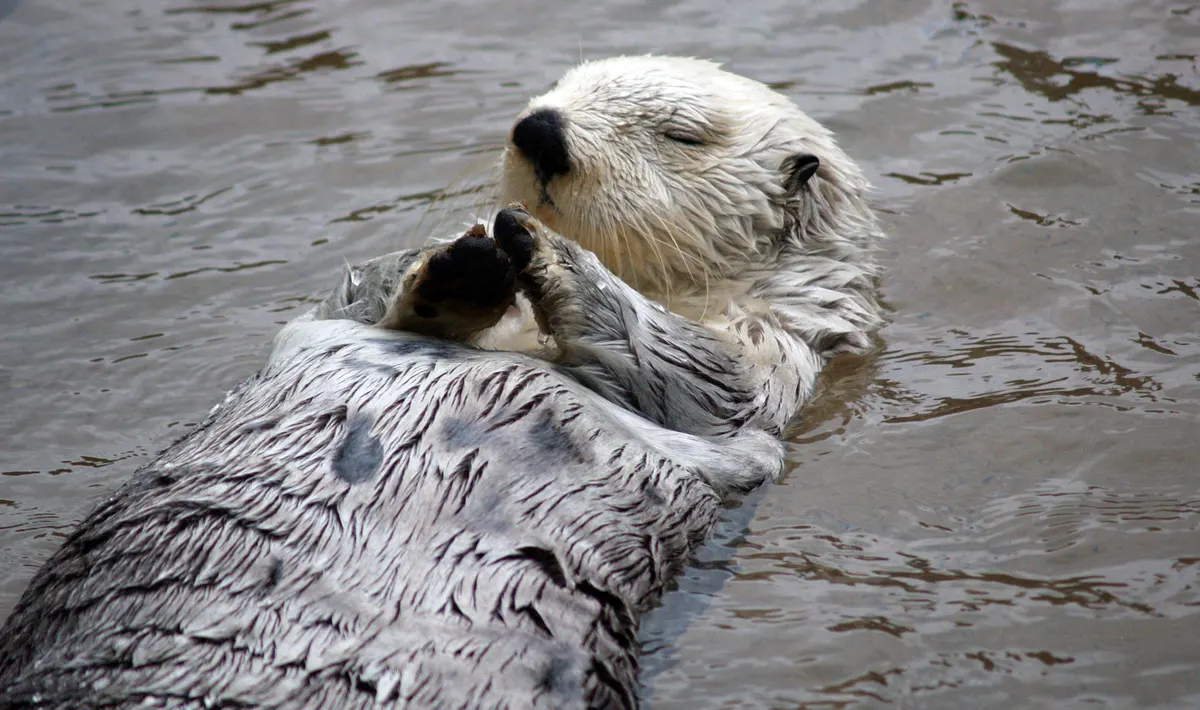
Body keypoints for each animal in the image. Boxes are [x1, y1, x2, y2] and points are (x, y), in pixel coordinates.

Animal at [0, 57, 884, 709]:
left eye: (682, 135)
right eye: (558, 88)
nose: (541, 128)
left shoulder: (770, 365)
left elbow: (703, 376)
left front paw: (549, 255)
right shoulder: (338, 310)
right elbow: (369, 290)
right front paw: (461, 264)